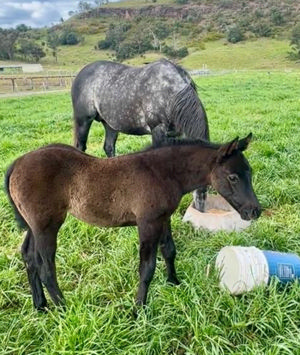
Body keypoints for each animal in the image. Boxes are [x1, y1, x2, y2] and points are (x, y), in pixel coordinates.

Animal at [4, 134, 260, 312]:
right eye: (233, 177)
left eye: (250, 172)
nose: (254, 211)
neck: (162, 172)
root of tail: (17, 163)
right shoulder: (147, 223)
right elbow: (146, 268)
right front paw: (139, 310)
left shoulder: (162, 218)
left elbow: (169, 250)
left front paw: (174, 283)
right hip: (47, 226)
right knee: (46, 267)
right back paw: (64, 310)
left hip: (34, 226)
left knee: (28, 255)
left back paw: (40, 306)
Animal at [72, 59, 210, 213]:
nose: (200, 209)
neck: (170, 93)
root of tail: (81, 73)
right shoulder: (158, 131)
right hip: (83, 121)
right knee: (80, 147)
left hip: (110, 124)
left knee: (109, 147)